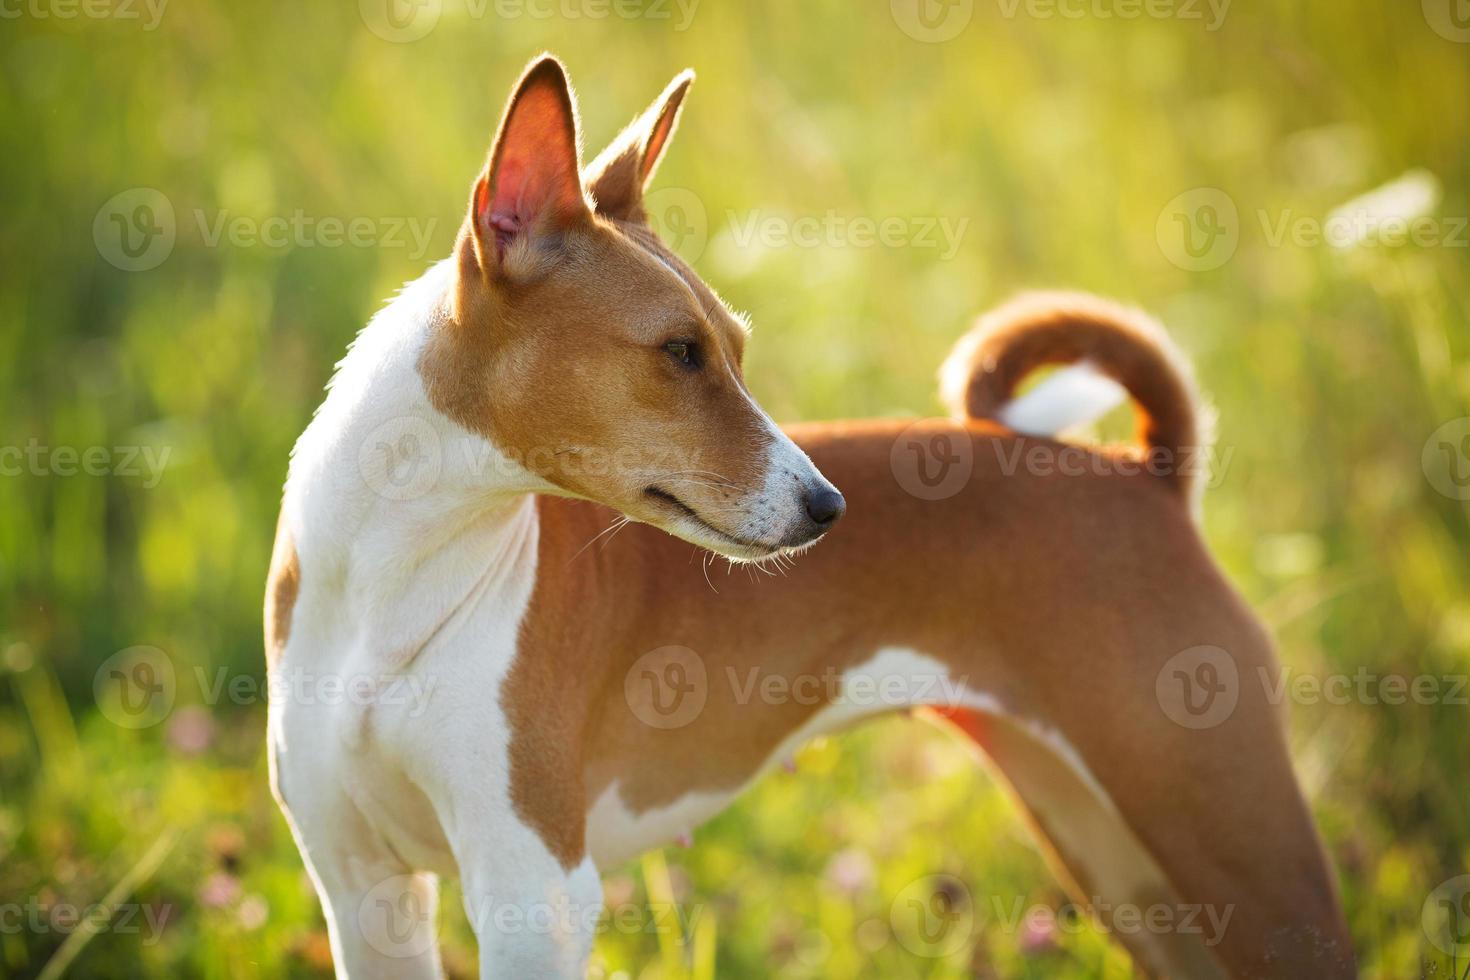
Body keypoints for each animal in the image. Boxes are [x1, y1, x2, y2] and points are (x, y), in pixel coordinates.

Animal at [267, 55, 1352, 980]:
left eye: (735, 347)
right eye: (680, 352)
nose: (829, 507)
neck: (391, 591)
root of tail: (1146, 474)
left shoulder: (533, 892)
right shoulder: (365, 893)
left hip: (1231, 840)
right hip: (1125, 863)